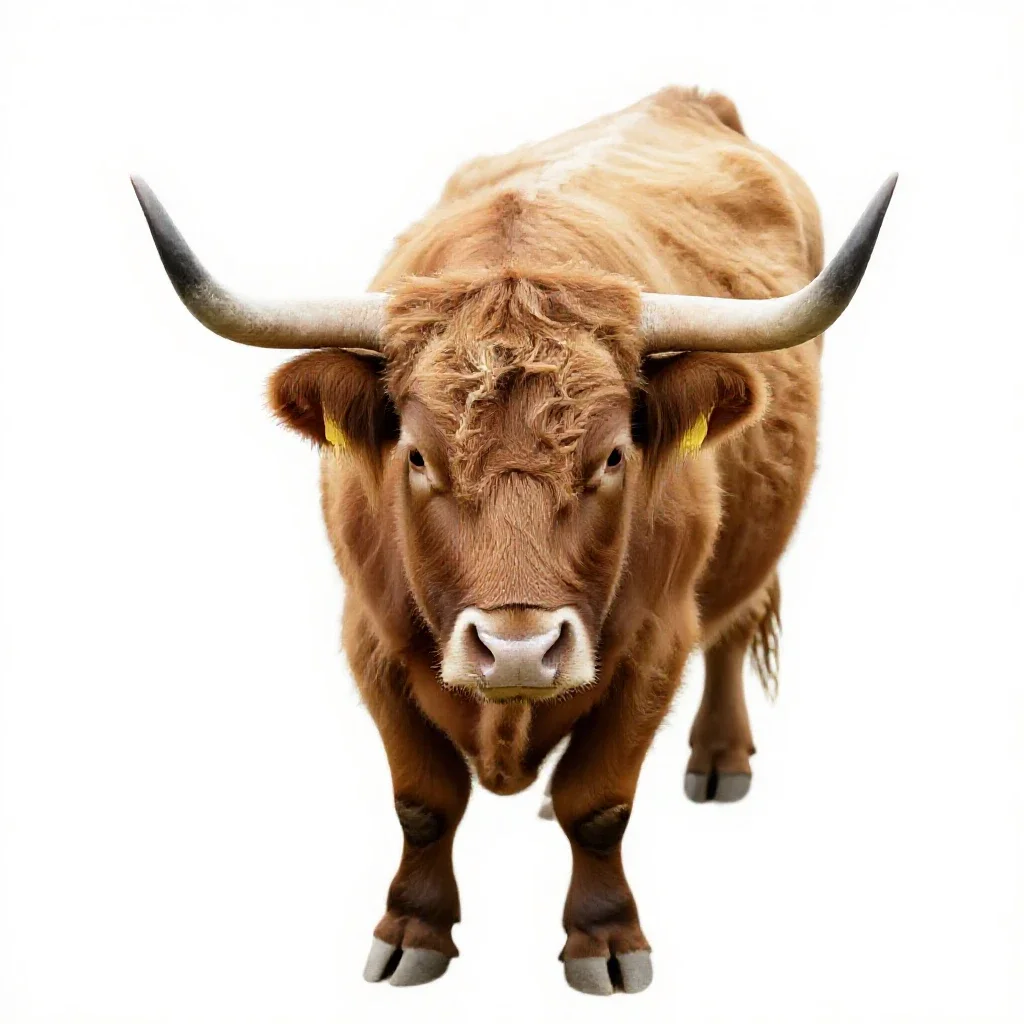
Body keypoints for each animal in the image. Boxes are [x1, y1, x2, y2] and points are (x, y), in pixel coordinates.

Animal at [132, 86, 895, 996]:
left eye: (612, 456)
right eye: (417, 456)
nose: (519, 651)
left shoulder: (655, 642)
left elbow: (597, 804)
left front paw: (605, 940)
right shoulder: (369, 637)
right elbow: (423, 799)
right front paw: (411, 930)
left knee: (734, 630)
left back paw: (719, 760)